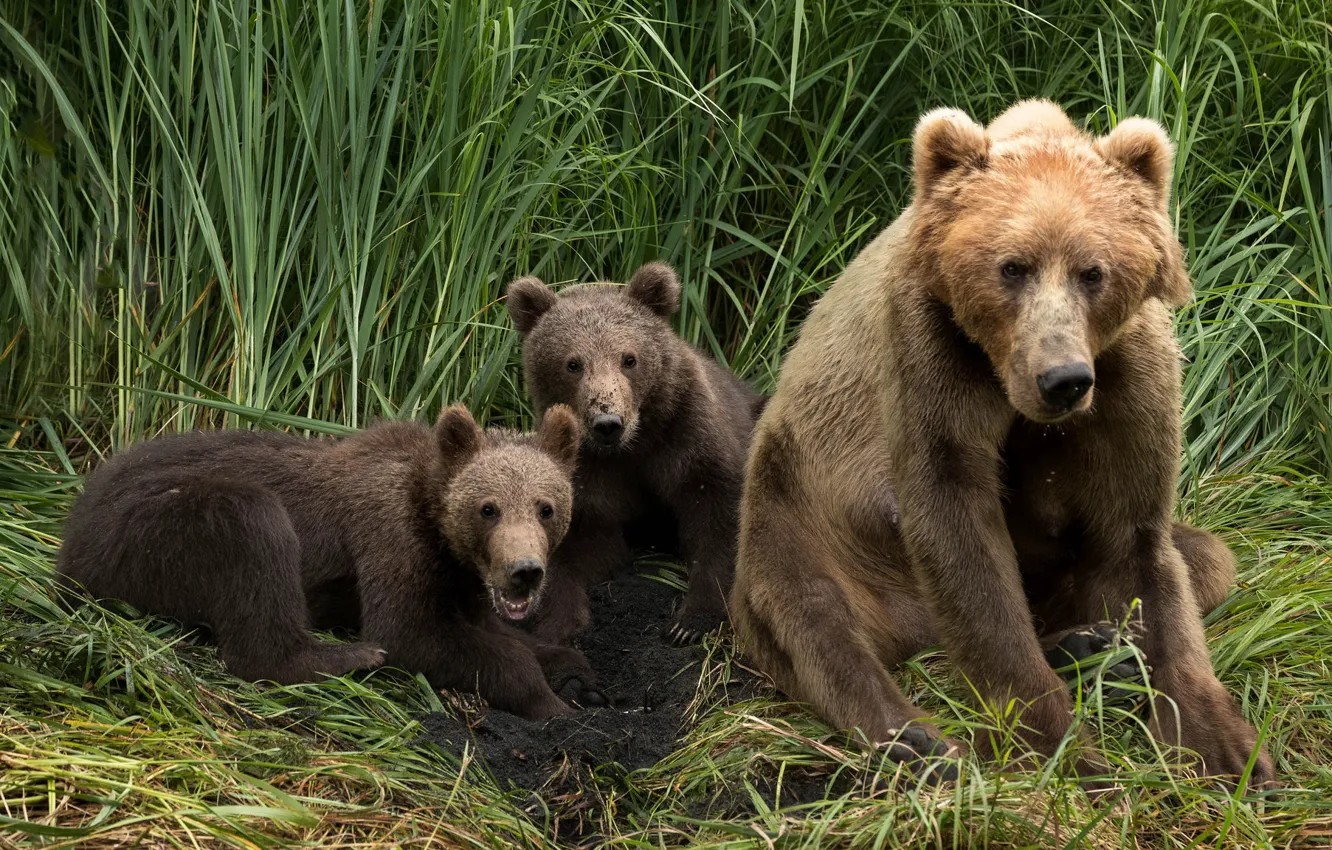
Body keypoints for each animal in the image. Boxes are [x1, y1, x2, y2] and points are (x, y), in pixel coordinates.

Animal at [56, 404, 606, 720]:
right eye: (488, 508)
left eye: (546, 507)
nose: (524, 570)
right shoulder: (389, 532)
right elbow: (410, 633)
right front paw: (550, 701)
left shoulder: (461, 578)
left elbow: (493, 629)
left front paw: (572, 669)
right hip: (150, 531)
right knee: (251, 530)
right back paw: (345, 657)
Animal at [506, 262, 764, 646]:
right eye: (572, 363)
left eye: (629, 359)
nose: (607, 423)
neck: (633, 445)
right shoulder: (590, 474)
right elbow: (582, 545)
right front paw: (559, 623)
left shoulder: (690, 440)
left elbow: (717, 522)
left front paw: (689, 622)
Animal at [729, 99, 1276, 788]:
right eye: (1012, 267)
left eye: (1093, 272)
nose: (1061, 379)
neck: (1007, 379)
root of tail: (917, 630)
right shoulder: (931, 351)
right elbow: (958, 525)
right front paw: (1060, 746)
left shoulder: (1127, 376)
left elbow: (1139, 539)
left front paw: (1225, 750)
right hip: (795, 505)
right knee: (813, 621)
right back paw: (919, 740)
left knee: (1209, 558)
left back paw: (1092, 648)